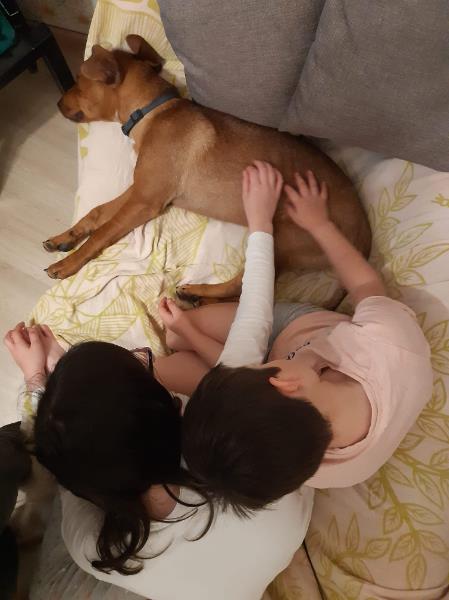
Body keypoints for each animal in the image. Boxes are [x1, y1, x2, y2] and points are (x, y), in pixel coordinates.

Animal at [44, 35, 371, 301]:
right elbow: (97, 212)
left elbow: (103, 232)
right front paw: (65, 238)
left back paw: (197, 292)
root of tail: (364, 237)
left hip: (282, 235)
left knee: (244, 286)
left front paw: (68, 263)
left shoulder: (145, 201)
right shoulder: (141, 190)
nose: (57, 103)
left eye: (78, 81)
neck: (153, 112)